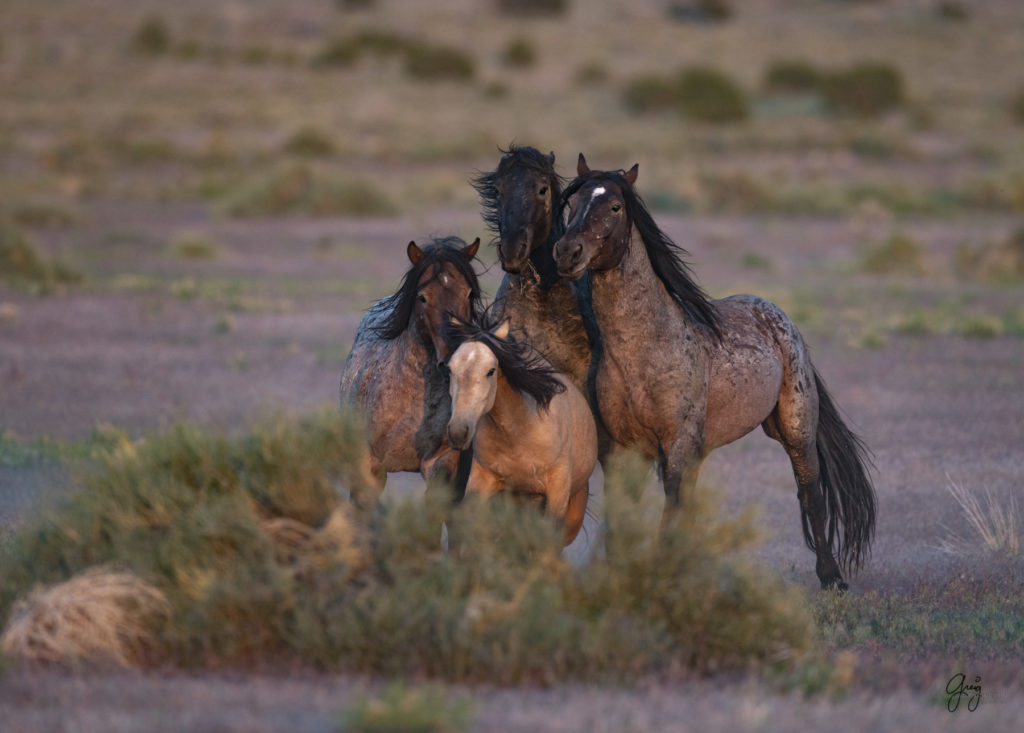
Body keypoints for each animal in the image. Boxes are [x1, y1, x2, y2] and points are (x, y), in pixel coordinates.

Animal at [444, 315, 598, 544]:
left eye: (490, 371)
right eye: (450, 369)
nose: (457, 432)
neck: (519, 433)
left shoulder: (557, 490)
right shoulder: (482, 479)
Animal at [557, 155, 876, 589]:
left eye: (615, 207)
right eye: (572, 205)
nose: (567, 252)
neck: (644, 351)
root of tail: (777, 315)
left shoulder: (678, 447)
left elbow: (670, 515)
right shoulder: (624, 452)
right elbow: (624, 523)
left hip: (795, 432)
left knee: (810, 494)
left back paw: (832, 579)